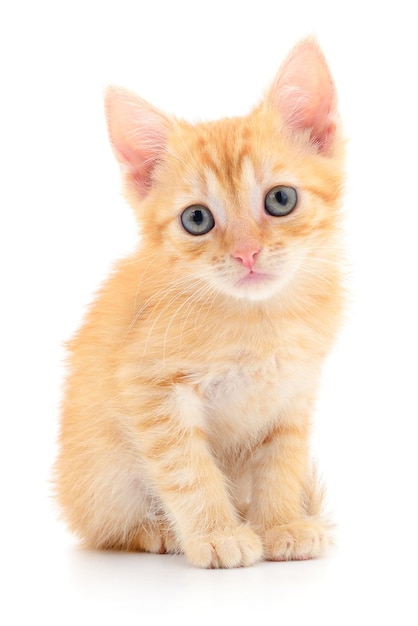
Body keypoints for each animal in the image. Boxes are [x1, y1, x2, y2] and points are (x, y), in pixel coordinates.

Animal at [54, 37, 342, 564]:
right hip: (101, 481)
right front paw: (217, 534)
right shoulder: (150, 388)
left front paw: (282, 524)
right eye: (196, 219)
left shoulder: (294, 390)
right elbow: (187, 468)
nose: (247, 253)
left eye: (281, 199)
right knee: (105, 529)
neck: (256, 317)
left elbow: (282, 460)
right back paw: (158, 531)